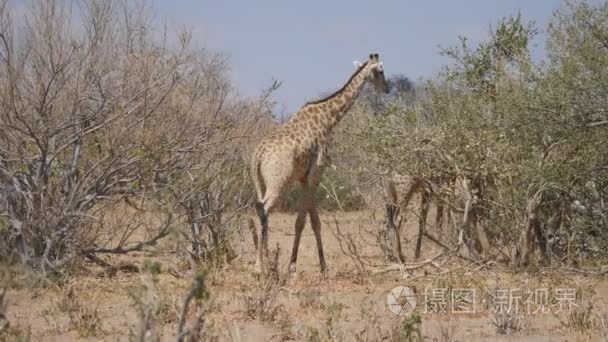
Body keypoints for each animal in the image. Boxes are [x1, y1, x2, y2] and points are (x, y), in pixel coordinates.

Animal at [251, 52, 390, 274]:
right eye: (380, 71)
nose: (387, 88)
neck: (328, 118)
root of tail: (258, 155)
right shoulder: (316, 172)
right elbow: (312, 220)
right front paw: (318, 266)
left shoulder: (303, 177)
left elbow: (301, 220)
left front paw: (293, 264)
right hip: (278, 181)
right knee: (264, 209)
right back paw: (259, 267)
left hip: (260, 182)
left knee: (259, 209)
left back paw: (265, 263)